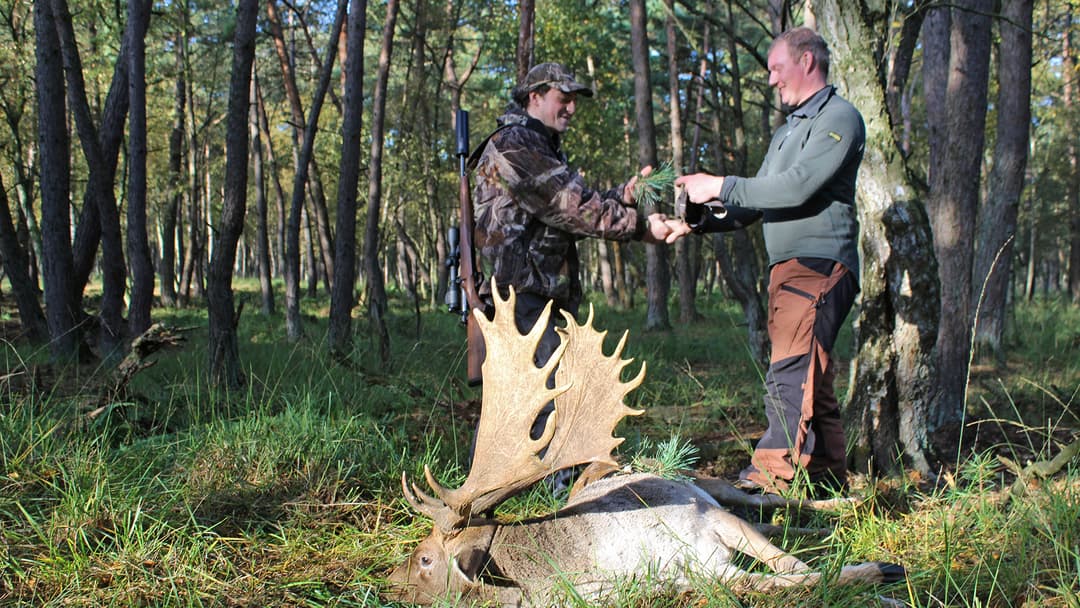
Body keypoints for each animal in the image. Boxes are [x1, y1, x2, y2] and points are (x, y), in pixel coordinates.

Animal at [387, 282, 904, 607]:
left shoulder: (706, 519)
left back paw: (862, 498)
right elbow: (780, 581)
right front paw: (876, 577)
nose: (388, 583)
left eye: (425, 559)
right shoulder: (703, 574)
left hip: (703, 482)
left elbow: (792, 566)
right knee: (775, 520)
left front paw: (885, 574)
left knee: (770, 499)